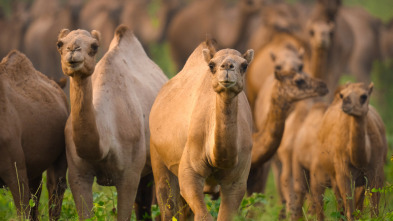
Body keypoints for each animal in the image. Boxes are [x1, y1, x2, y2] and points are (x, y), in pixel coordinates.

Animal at [149, 38, 254, 220]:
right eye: (212, 65)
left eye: (244, 65)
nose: (227, 66)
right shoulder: (189, 171)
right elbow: (203, 215)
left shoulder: (237, 180)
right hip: (156, 153)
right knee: (167, 203)